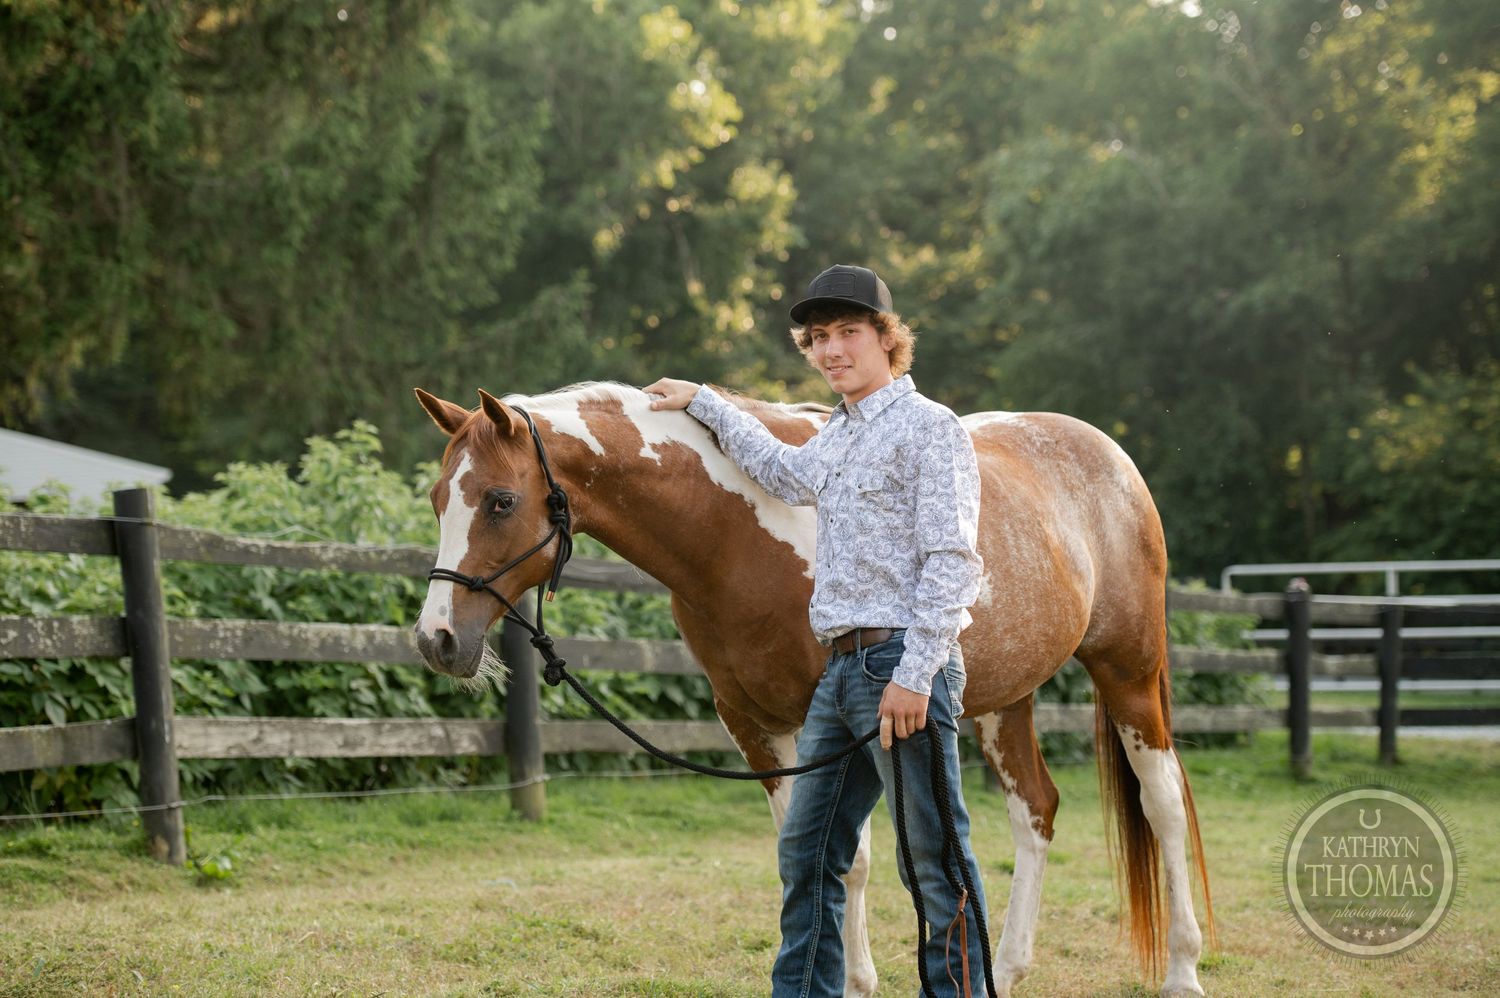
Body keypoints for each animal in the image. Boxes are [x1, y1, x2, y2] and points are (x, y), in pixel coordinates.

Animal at [411, 381, 1215, 997]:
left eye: (501, 500)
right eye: (438, 499)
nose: (436, 640)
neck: (734, 531)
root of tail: (1111, 458)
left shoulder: (842, 723)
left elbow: (850, 861)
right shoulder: (756, 726)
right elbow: (803, 856)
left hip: (1128, 674)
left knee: (1163, 804)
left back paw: (1182, 971)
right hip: (1001, 701)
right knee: (1035, 812)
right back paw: (1007, 970)